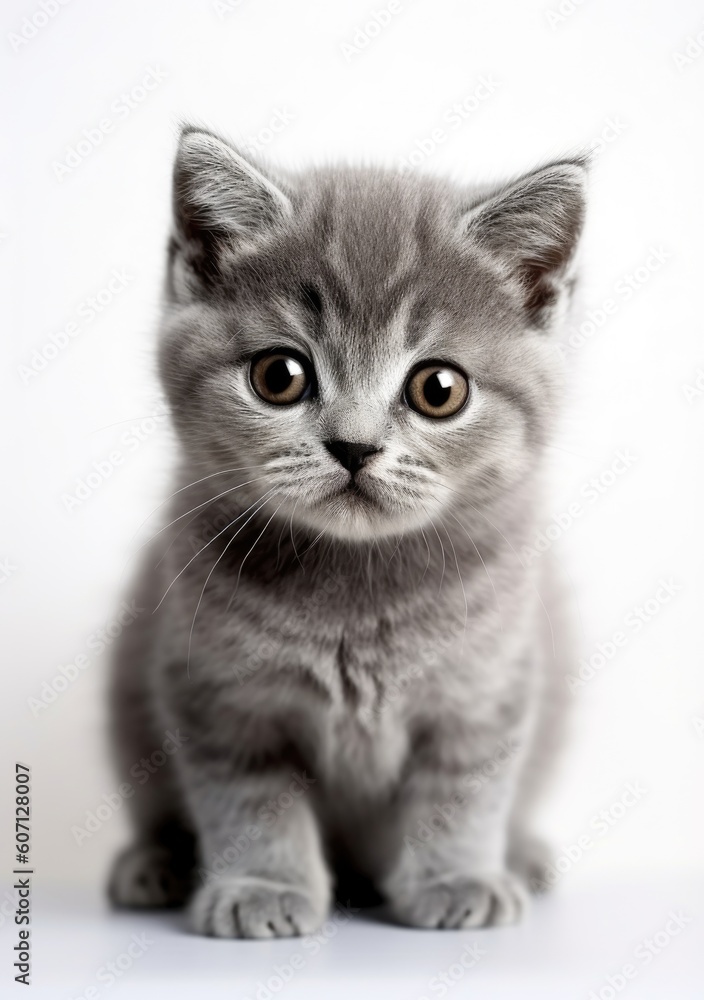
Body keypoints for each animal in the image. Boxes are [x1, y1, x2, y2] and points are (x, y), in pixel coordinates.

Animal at [107, 127, 584, 936]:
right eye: (280, 376)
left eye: (438, 389)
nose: (354, 446)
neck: (357, 590)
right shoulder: (216, 698)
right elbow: (250, 803)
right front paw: (263, 887)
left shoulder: (487, 692)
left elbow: (463, 793)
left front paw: (458, 877)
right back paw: (155, 864)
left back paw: (520, 857)